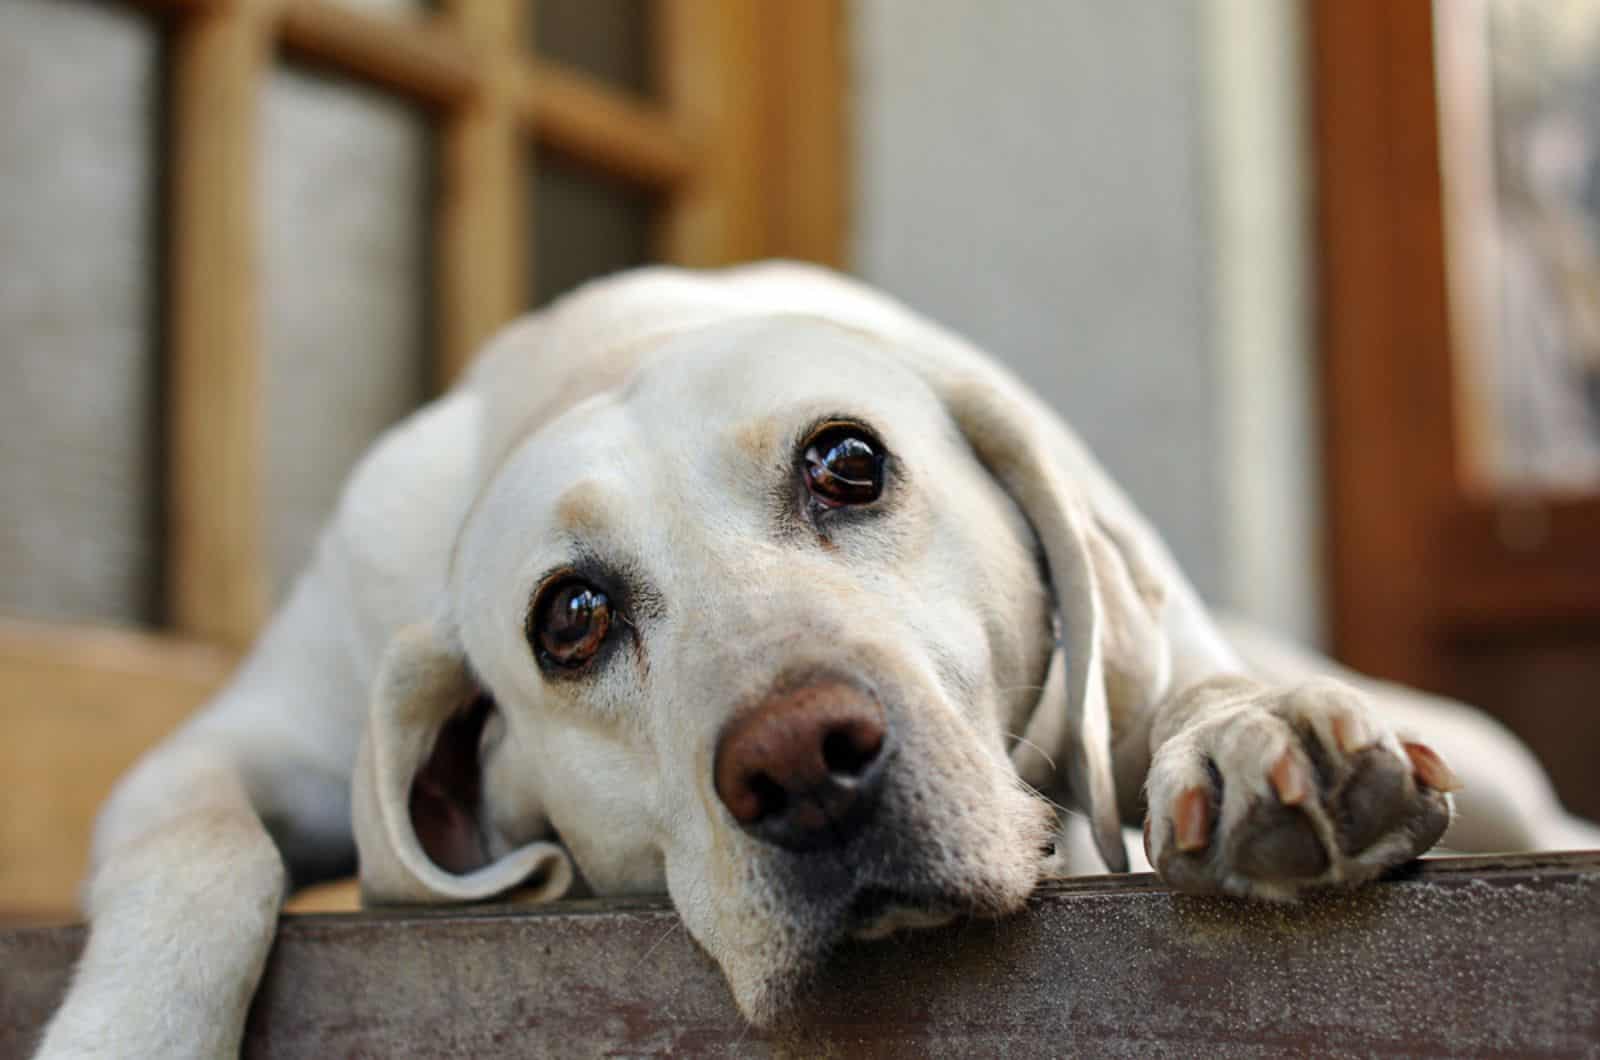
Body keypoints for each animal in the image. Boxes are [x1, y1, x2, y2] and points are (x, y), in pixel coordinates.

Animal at [40, 260, 1600, 1056]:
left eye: (849, 464)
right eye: (570, 617)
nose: (801, 766)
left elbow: (1182, 691)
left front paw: (1250, 732)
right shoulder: (223, 745)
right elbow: (198, 858)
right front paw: (126, 1033)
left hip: (1498, 772)